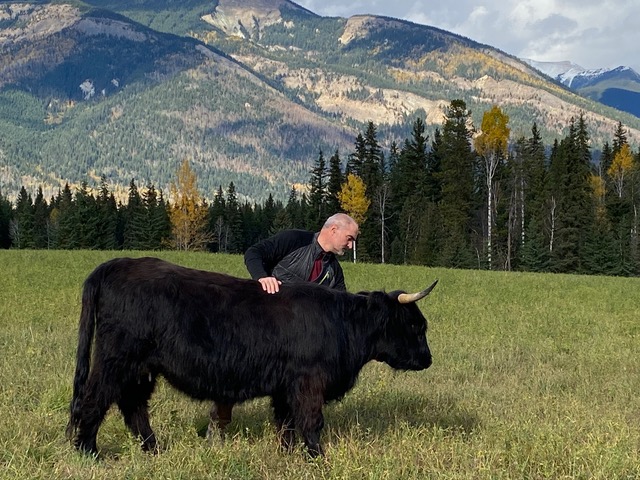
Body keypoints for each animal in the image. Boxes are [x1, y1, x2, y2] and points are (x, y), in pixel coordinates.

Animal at [67, 256, 438, 456]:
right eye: (417, 325)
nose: (428, 359)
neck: (343, 323)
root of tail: (117, 264)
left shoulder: (286, 386)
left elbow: (287, 423)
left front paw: (289, 455)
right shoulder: (309, 381)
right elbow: (311, 421)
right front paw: (317, 457)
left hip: (142, 367)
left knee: (133, 405)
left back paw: (153, 449)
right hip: (116, 358)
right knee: (94, 399)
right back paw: (90, 452)